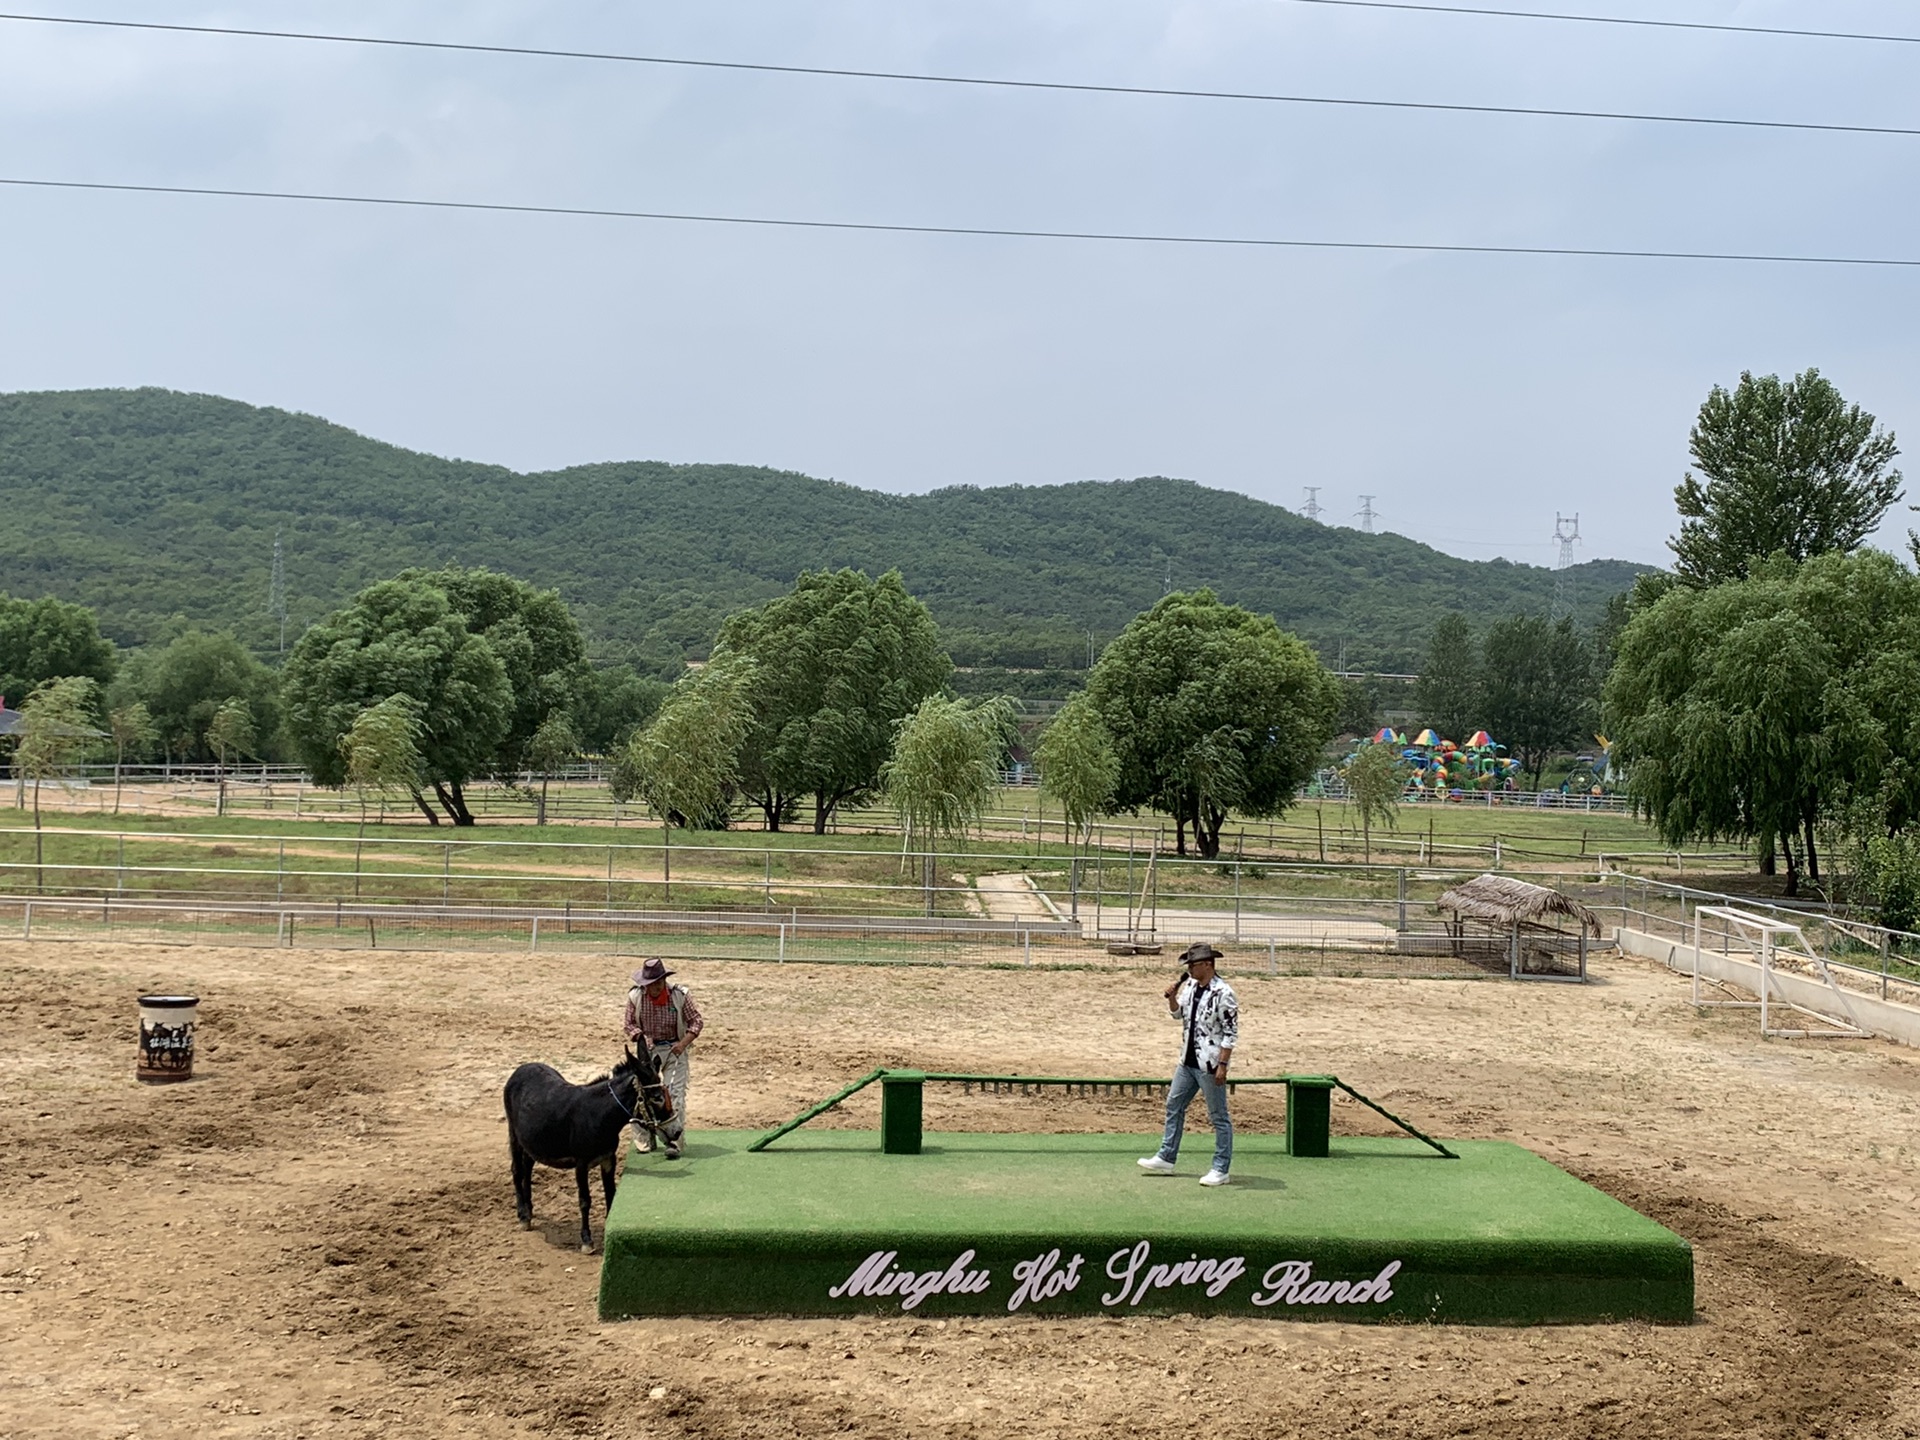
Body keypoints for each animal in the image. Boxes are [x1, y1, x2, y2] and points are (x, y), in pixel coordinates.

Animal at [503, 1052, 675, 1251]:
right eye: (657, 1098)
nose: (677, 1131)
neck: (600, 1115)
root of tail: (523, 1067)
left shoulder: (608, 1159)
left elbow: (611, 1193)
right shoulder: (581, 1164)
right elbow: (585, 1201)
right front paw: (586, 1240)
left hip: (533, 1142)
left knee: (527, 1169)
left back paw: (530, 1212)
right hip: (514, 1133)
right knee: (517, 1170)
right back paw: (523, 1216)